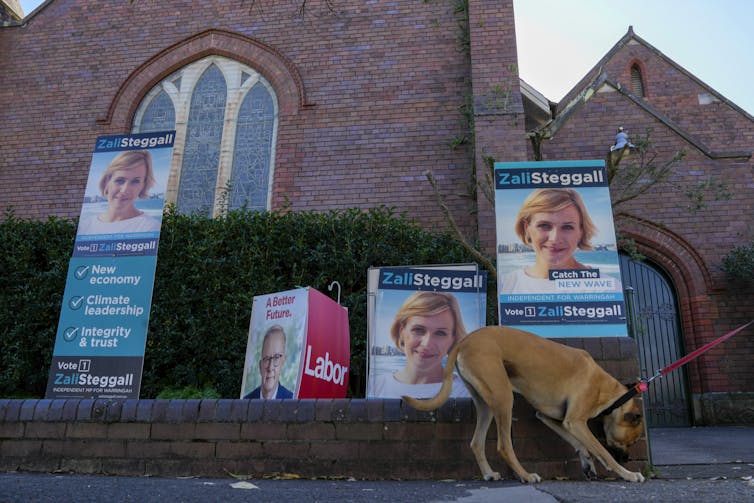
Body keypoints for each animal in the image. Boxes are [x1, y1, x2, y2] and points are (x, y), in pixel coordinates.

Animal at [402, 326, 644, 484]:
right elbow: (602, 451)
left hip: (487, 404)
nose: (628, 459)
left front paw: (588, 462)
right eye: (631, 441)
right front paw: (627, 473)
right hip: (503, 398)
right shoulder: (575, 422)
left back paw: (489, 473)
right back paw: (525, 475)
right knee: (504, 446)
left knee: (476, 442)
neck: (607, 389)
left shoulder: (552, 418)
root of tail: (465, 340)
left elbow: (580, 444)